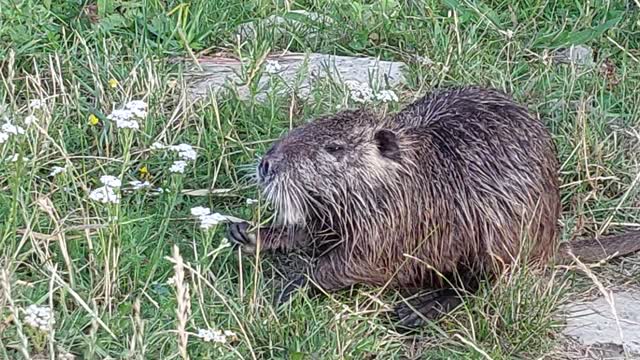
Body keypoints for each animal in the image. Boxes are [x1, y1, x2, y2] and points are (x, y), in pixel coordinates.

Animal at [228, 86, 640, 328]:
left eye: (334, 148)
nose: (266, 164)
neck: (411, 173)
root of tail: (551, 244)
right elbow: (314, 233)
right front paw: (247, 233)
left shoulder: (397, 219)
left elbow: (358, 263)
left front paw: (290, 287)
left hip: (500, 234)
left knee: (485, 281)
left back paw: (419, 310)